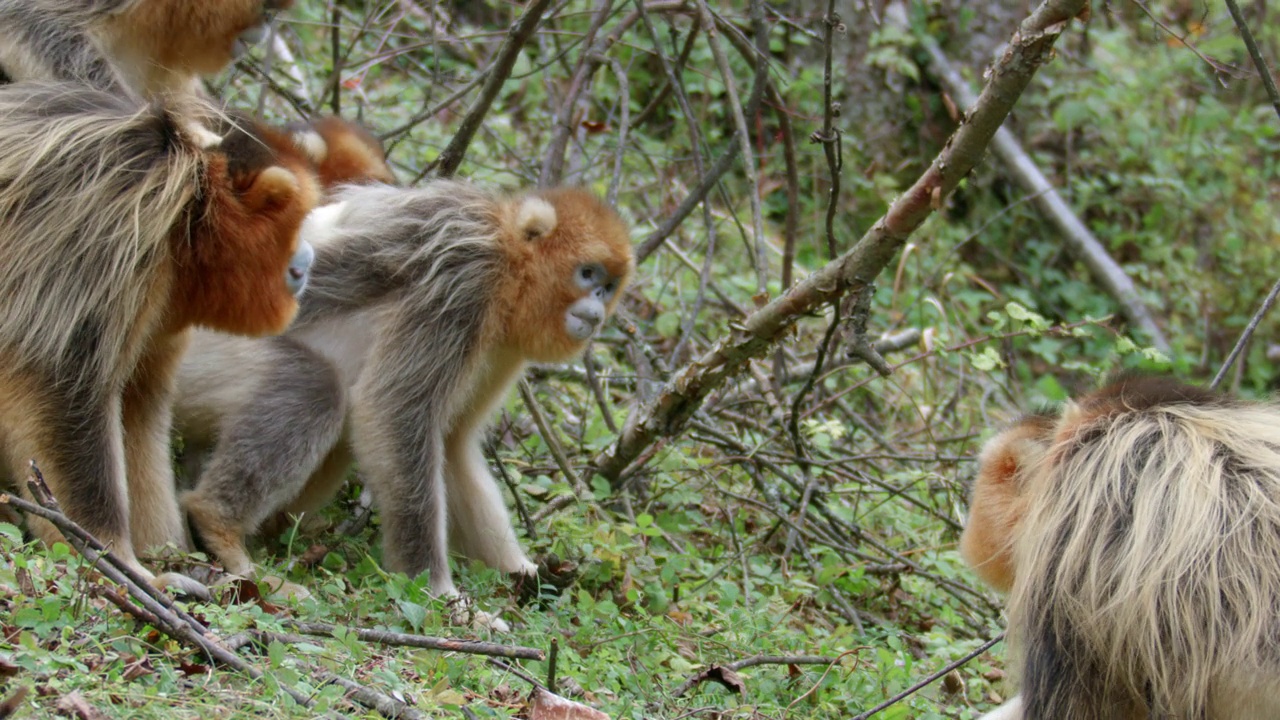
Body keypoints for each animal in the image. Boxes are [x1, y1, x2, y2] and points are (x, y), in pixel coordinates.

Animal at [0, 79, 318, 594]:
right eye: (297, 225)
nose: (307, 262)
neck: (187, 209)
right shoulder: (105, 227)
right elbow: (60, 385)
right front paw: (112, 561)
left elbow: (140, 404)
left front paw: (172, 557)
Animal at [175, 178, 634, 609]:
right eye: (587, 274)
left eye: (609, 285)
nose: (597, 305)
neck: (509, 261)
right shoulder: (467, 274)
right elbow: (392, 410)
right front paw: (437, 594)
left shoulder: (506, 345)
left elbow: (453, 445)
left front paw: (522, 576)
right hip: (203, 351)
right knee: (314, 389)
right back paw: (218, 528)